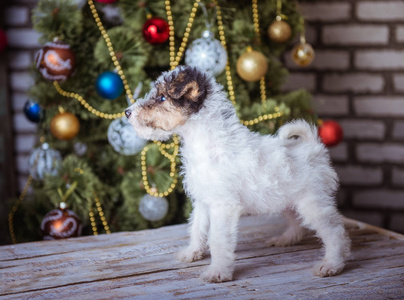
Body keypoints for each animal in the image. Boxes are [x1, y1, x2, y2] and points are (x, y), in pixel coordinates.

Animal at [125, 66, 350, 284]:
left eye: (162, 98)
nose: (127, 112)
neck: (206, 143)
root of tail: (313, 146)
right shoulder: (203, 201)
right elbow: (197, 229)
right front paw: (192, 253)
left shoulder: (223, 205)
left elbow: (217, 240)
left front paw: (218, 272)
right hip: (288, 201)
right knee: (298, 224)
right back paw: (284, 240)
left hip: (312, 203)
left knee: (335, 233)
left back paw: (331, 265)